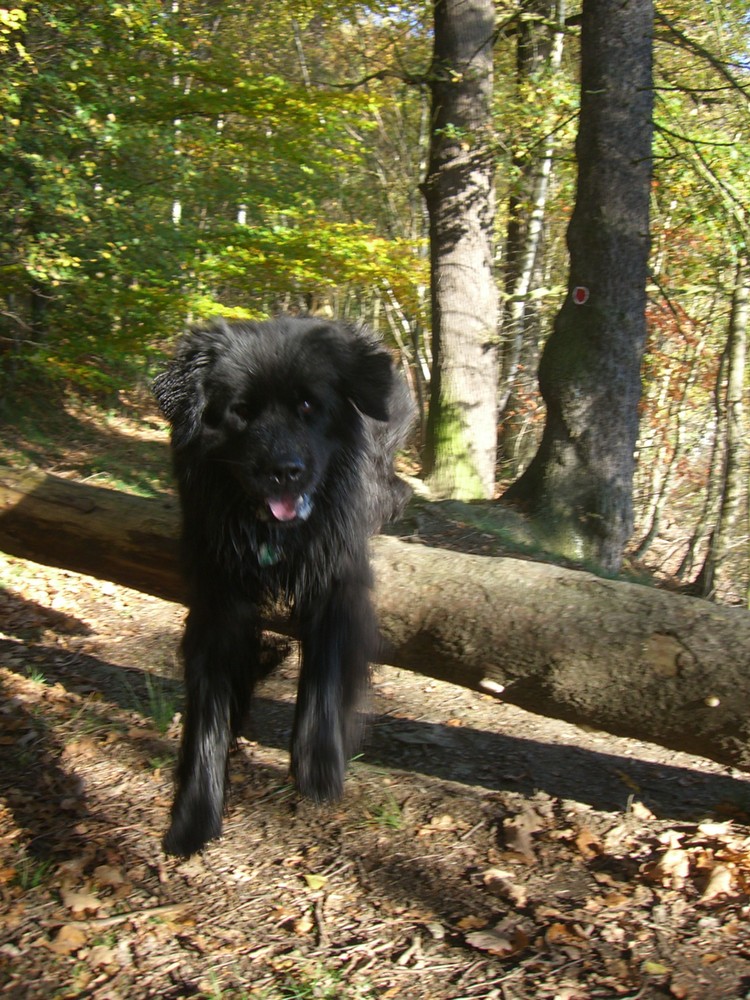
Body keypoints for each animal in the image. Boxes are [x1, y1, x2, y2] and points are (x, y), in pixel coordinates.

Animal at [152, 316, 412, 856]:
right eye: (240, 413)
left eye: (309, 406)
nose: (284, 472)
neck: (273, 536)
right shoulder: (217, 598)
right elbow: (207, 712)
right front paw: (194, 815)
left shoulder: (338, 579)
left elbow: (325, 671)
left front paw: (318, 765)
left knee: (397, 488)